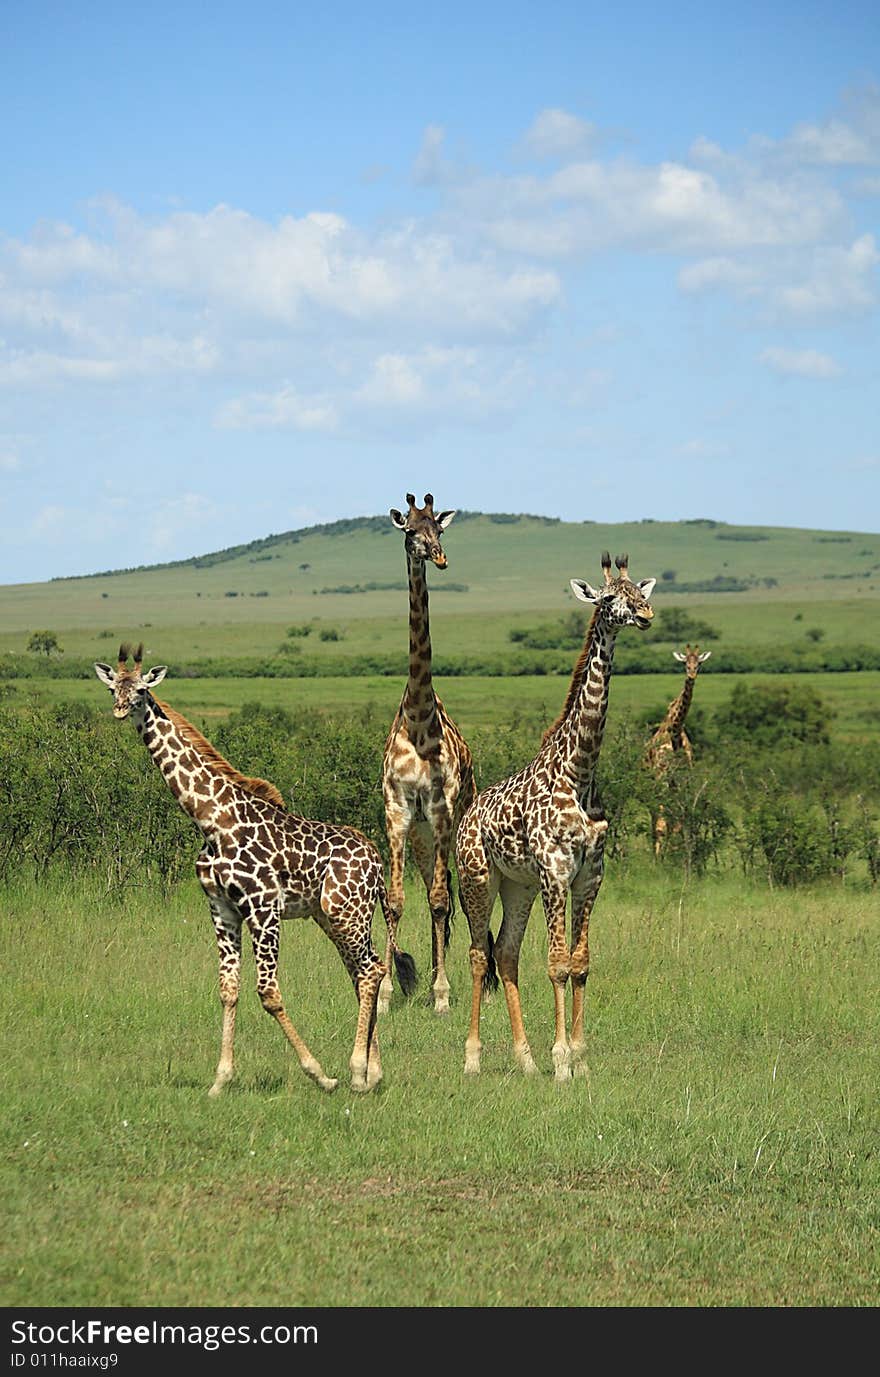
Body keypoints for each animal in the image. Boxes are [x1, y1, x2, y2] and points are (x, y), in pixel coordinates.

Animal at [92, 641, 415, 1096]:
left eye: (140, 690)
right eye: (112, 689)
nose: (121, 710)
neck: (211, 819)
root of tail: (377, 864)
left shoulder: (263, 908)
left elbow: (268, 992)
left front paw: (319, 1074)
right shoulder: (222, 908)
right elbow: (228, 989)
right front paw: (220, 1080)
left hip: (346, 912)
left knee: (370, 971)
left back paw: (355, 1072)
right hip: (333, 916)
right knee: (363, 971)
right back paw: (374, 1072)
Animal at [454, 553, 655, 1079]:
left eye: (639, 590)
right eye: (608, 598)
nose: (645, 613)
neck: (579, 771)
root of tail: (465, 816)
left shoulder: (590, 875)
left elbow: (581, 962)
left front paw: (579, 1056)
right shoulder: (555, 872)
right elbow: (558, 964)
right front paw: (562, 1059)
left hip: (517, 886)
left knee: (506, 954)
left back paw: (523, 1059)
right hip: (478, 879)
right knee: (479, 954)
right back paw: (473, 1058)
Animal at [644, 641, 710, 848]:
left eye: (699, 663)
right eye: (684, 663)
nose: (691, 675)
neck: (675, 732)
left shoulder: (683, 779)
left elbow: (681, 820)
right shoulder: (661, 777)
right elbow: (663, 823)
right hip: (653, 785)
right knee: (655, 817)